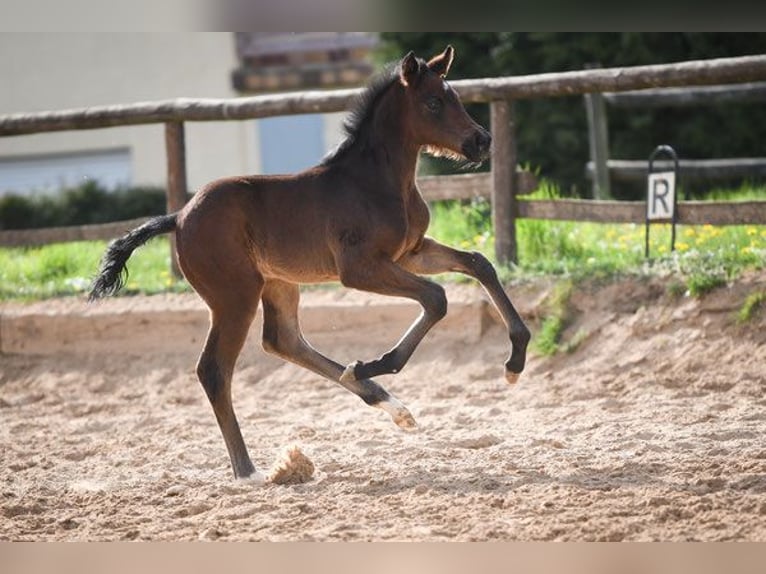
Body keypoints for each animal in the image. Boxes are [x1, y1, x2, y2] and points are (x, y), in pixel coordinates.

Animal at [90, 46, 532, 482]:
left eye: (455, 97)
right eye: (434, 102)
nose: (481, 141)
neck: (377, 182)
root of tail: (179, 217)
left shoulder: (412, 252)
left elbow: (479, 263)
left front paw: (515, 361)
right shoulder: (359, 268)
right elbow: (436, 298)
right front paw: (376, 363)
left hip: (278, 283)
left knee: (282, 340)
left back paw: (387, 403)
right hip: (235, 296)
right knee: (215, 369)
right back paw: (248, 470)